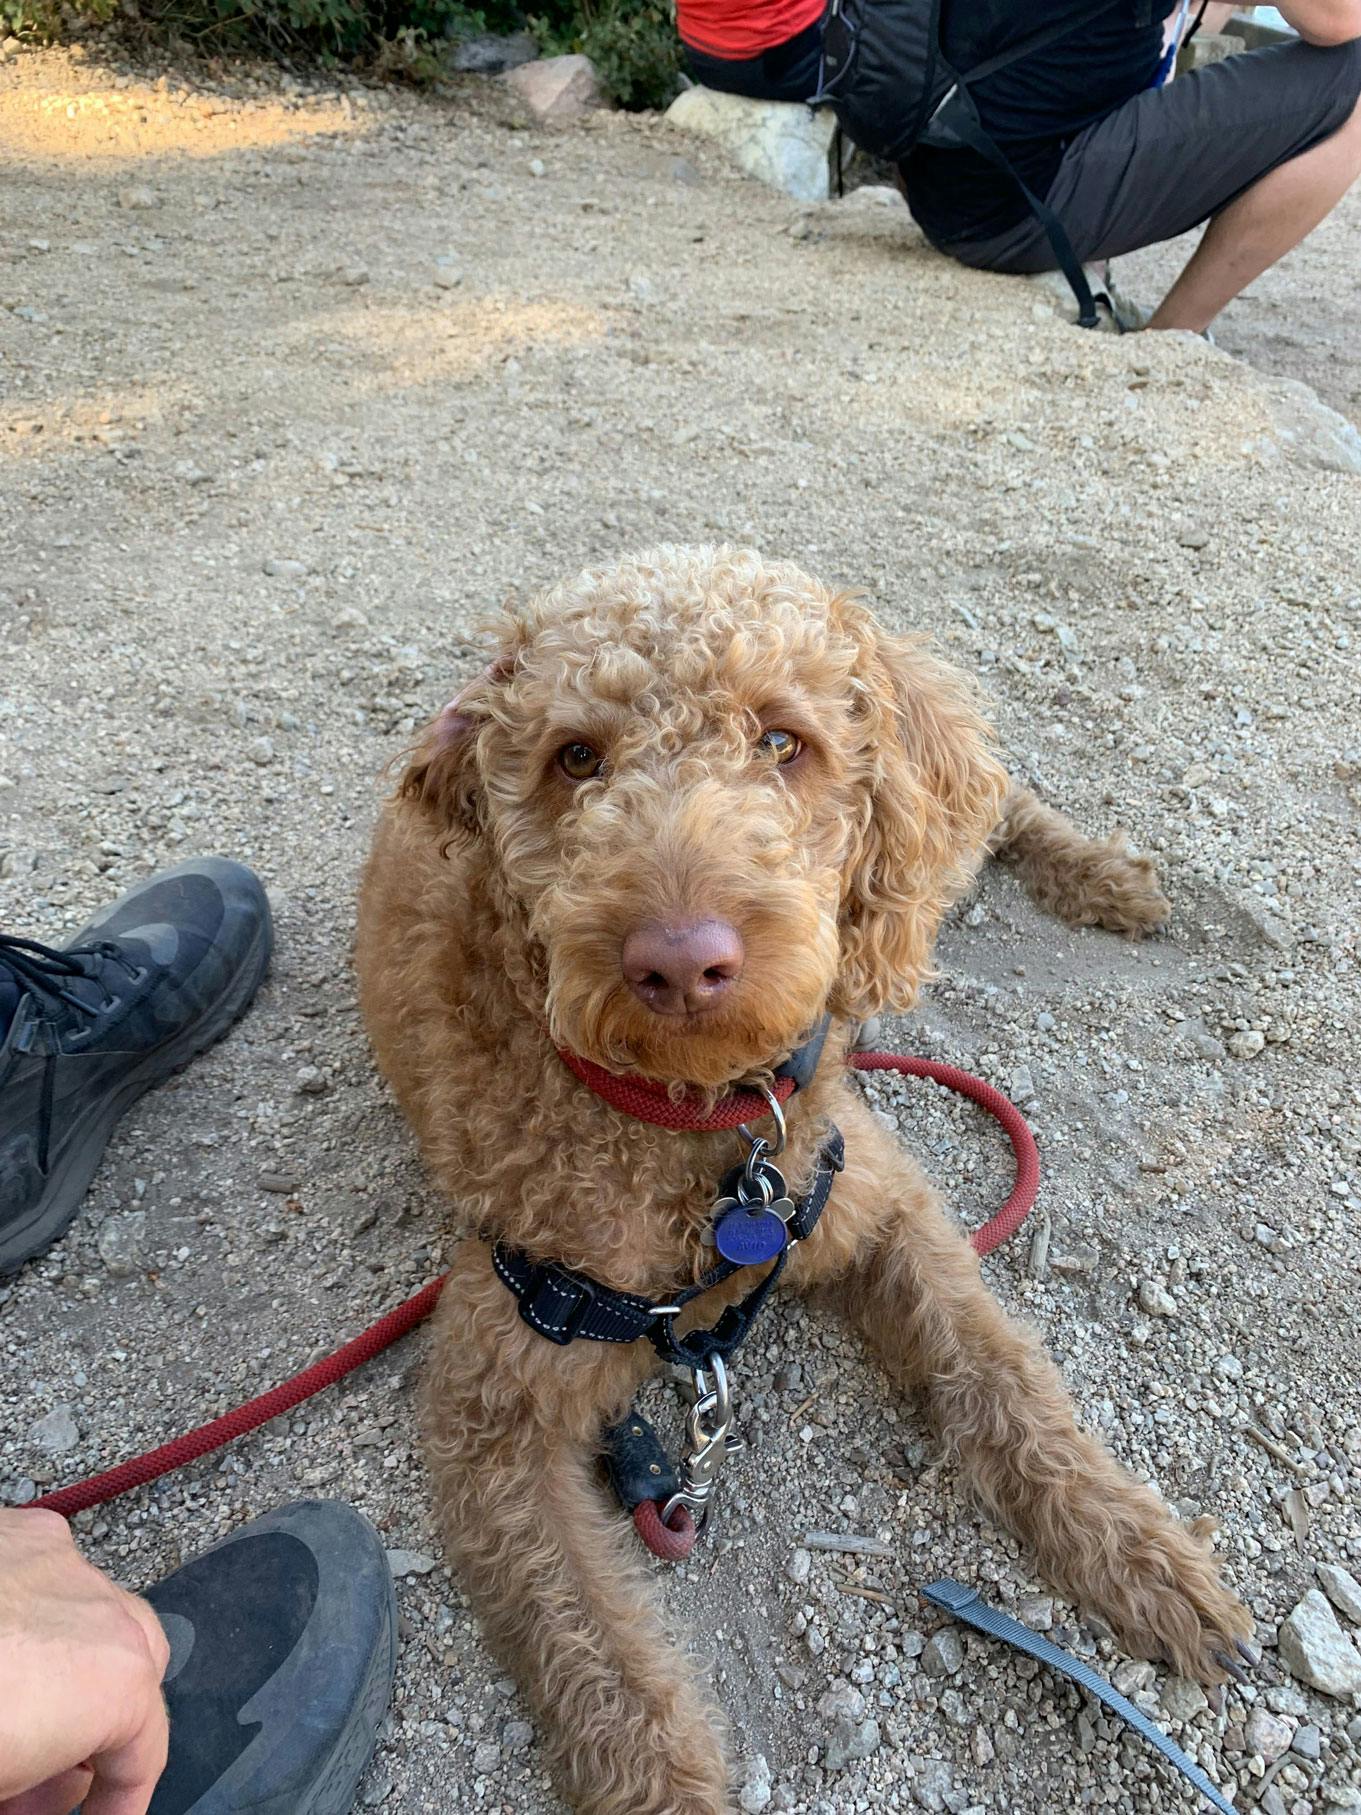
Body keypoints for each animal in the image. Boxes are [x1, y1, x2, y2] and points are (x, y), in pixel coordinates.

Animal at [357, 544, 1255, 1807]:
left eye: (782, 740)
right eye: (573, 759)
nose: (680, 960)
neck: (699, 1133)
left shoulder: (883, 1203)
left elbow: (1005, 1382)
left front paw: (1137, 1551)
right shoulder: (491, 1411)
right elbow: (594, 1659)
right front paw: (665, 1779)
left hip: (927, 845)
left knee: (983, 798)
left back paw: (1102, 874)